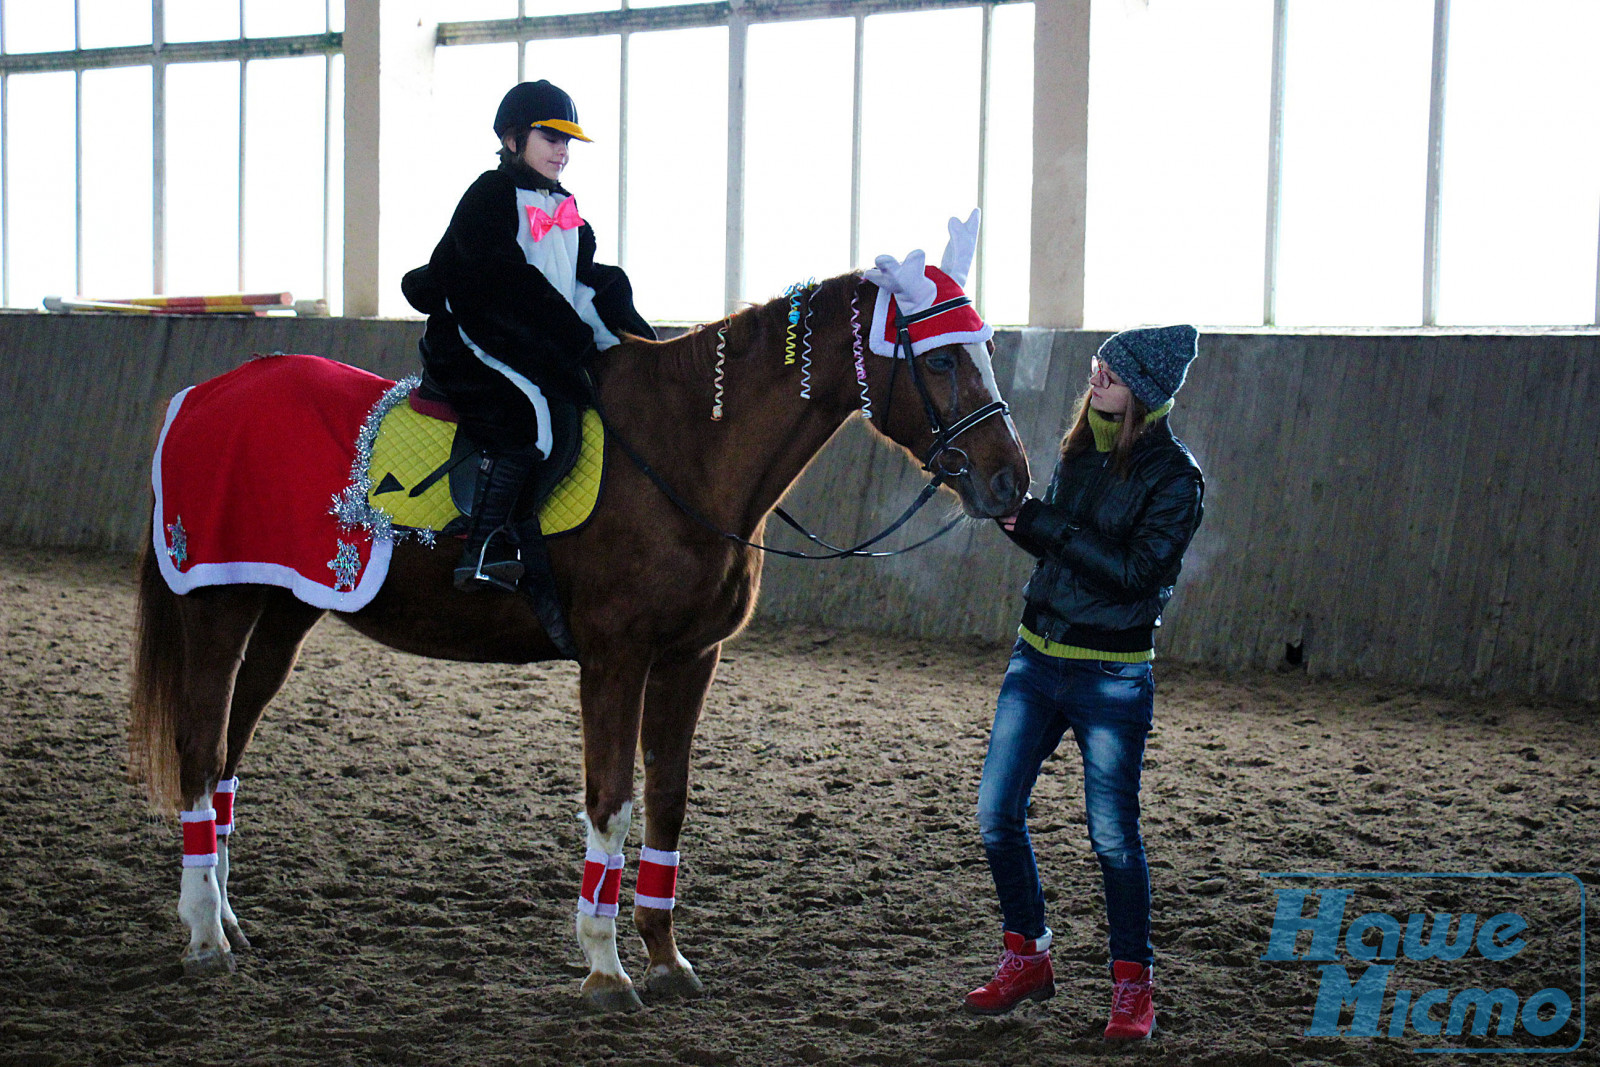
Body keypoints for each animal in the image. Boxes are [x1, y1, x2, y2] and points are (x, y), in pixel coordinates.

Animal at [121, 265, 1024, 1011]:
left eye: (983, 348)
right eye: (943, 361)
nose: (1010, 480)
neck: (685, 452)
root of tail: (201, 395)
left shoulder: (690, 659)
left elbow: (667, 799)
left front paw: (666, 959)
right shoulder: (615, 659)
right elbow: (611, 800)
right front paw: (605, 966)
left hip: (284, 611)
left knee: (228, 755)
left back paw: (225, 919)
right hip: (218, 607)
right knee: (200, 751)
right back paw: (203, 936)